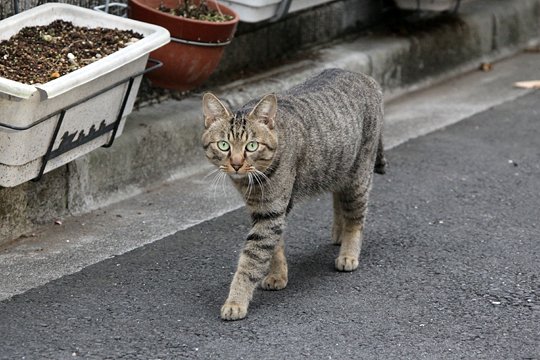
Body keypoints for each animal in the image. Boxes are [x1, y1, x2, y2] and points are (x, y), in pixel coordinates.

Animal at [201, 68, 384, 320]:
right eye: (223, 145)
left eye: (251, 146)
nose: (236, 164)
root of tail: (364, 76)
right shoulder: (263, 210)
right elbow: (275, 246)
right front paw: (278, 275)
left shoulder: (272, 210)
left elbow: (251, 260)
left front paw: (235, 301)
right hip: (338, 168)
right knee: (339, 198)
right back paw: (339, 232)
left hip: (359, 174)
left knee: (356, 218)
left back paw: (348, 252)